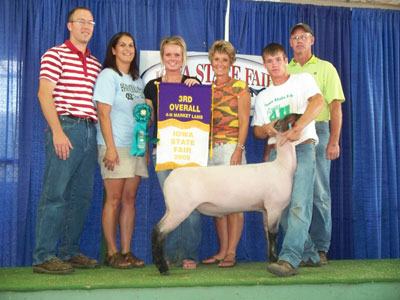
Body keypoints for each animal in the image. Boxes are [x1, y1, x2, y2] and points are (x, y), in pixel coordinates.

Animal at [151, 112, 300, 274]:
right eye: (284, 120)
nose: (299, 115)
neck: (282, 166)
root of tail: (169, 179)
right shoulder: (274, 207)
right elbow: (274, 235)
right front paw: (275, 260)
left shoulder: (266, 210)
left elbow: (268, 235)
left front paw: (271, 260)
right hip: (179, 209)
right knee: (159, 231)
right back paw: (163, 268)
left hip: (172, 208)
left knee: (156, 229)